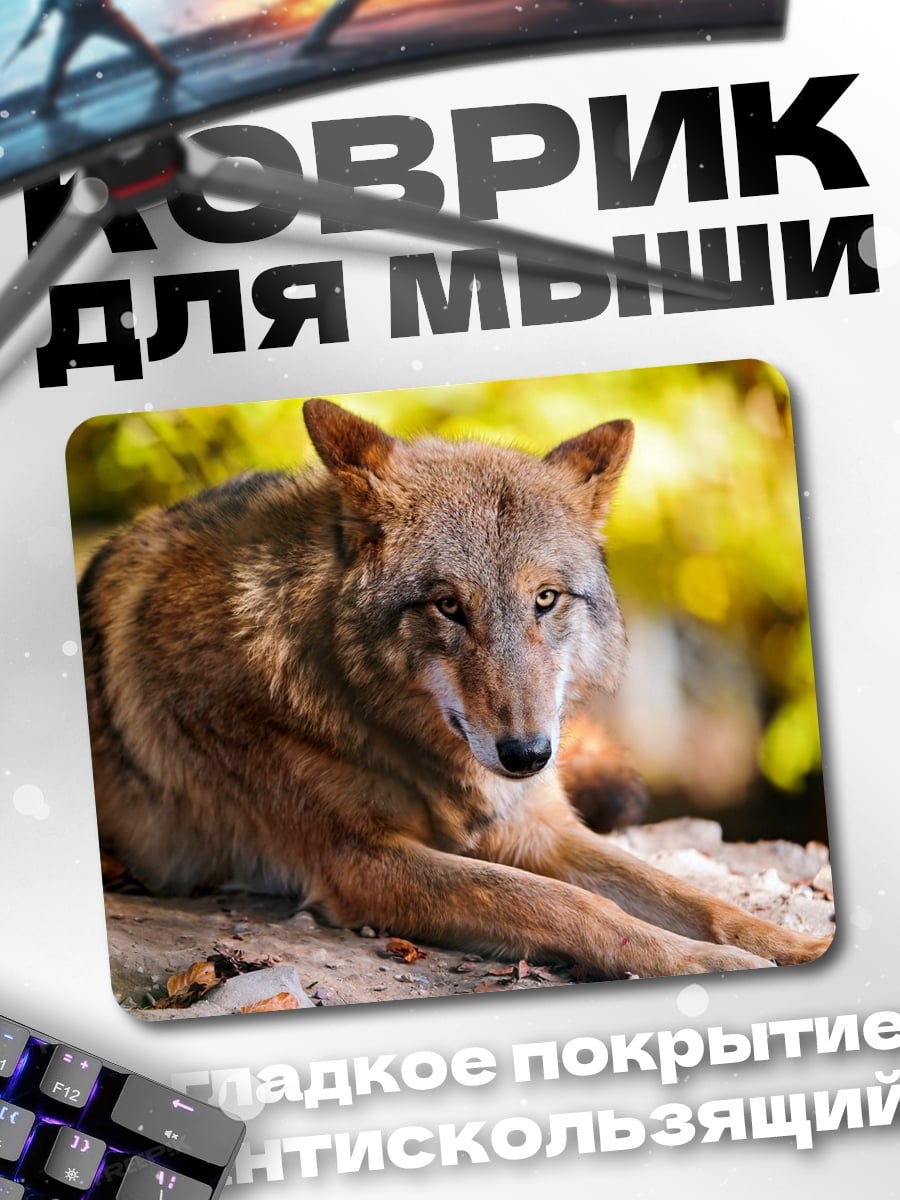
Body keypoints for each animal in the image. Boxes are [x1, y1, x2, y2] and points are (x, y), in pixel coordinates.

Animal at [79, 400, 830, 980]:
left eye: (545, 599)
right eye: (448, 606)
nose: (528, 755)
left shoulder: (536, 828)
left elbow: (701, 899)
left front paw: (798, 945)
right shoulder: (363, 863)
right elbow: (568, 904)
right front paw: (706, 964)